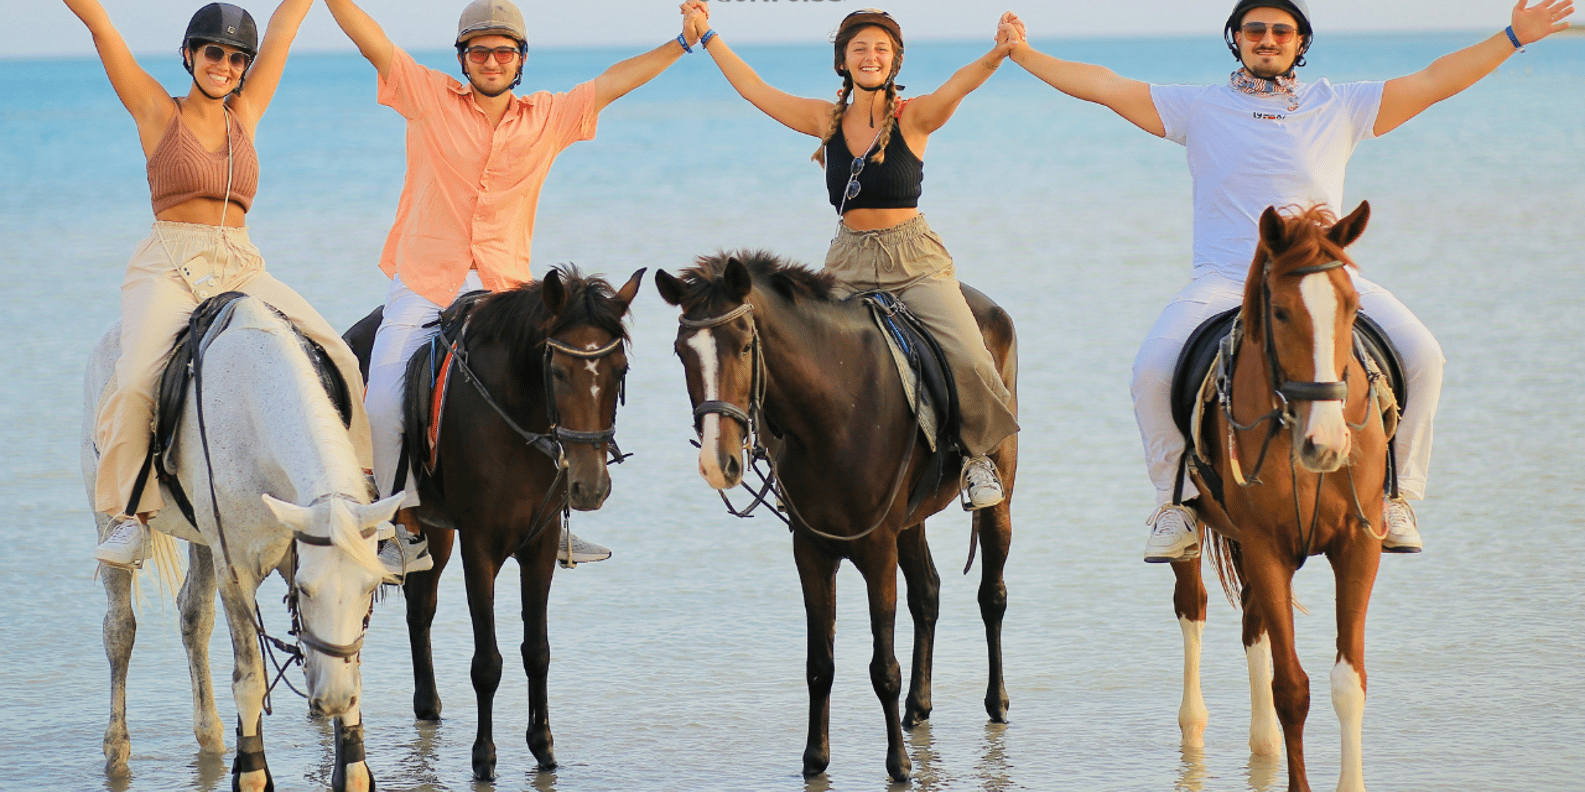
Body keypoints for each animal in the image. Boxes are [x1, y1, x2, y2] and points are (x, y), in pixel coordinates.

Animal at [82, 295, 403, 792]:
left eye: (371, 589)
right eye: (306, 590)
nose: (332, 699)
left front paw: (352, 763)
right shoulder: (237, 572)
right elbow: (249, 679)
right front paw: (250, 770)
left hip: (202, 540)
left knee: (193, 618)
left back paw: (210, 735)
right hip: (108, 517)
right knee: (119, 630)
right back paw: (117, 750)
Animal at [343, 266, 644, 780]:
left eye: (619, 370)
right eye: (557, 372)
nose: (590, 486)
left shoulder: (539, 544)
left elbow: (536, 652)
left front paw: (543, 745)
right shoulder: (479, 546)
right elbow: (487, 662)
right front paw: (484, 757)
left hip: (436, 531)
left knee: (420, 608)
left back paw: (427, 705)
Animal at [655, 252, 1017, 782]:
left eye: (745, 346)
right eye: (682, 353)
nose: (717, 462)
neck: (831, 413)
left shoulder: (876, 548)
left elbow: (883, 668)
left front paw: (898, 764)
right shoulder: (812, 549)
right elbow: (819, 664)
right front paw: (815, 758)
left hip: (999, 493)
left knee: (992, 595)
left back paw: (997, 701)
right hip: (910, 520)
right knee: (927, 593)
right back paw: (918, 706)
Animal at [1172, 202, 1390, 792]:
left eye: (1351, 305)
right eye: (1283, 313)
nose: (1327, 444)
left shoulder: (1358, 545)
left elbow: (1349, 682)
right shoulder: (1267, 548)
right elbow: (1291, 687)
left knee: (1254, 624)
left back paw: (1263, 745)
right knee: (1193, 607)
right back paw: (1194, 726)